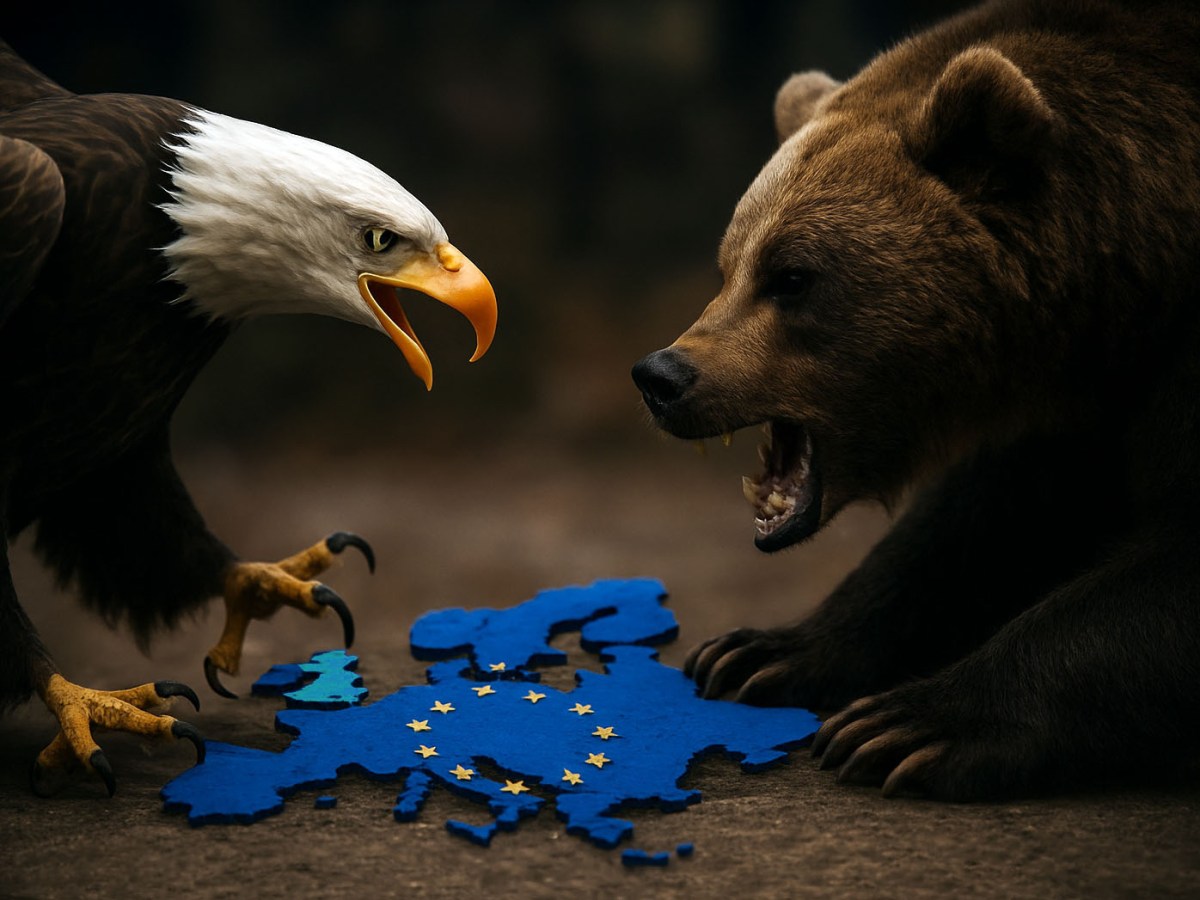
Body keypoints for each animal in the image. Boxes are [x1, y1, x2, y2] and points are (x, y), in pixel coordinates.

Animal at [631, 0, 1200, 801]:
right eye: (728, 266)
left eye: (792, 276)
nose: (664, 376)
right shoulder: (1088, 396)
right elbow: (979, 521)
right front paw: (758, 652)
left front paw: (908, 725)